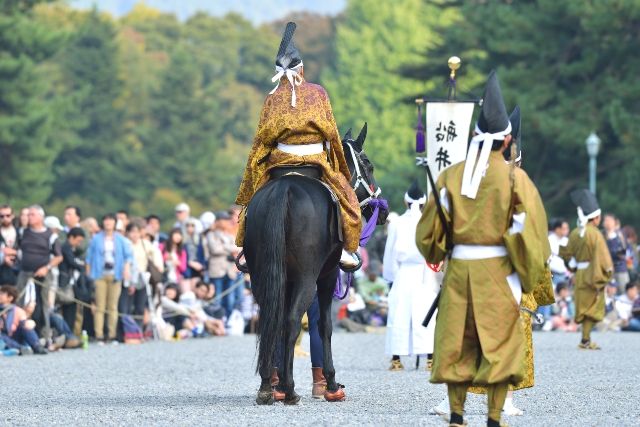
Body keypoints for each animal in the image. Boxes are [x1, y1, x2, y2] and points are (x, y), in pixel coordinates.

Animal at [244, 123, 384, 404]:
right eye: (368, 164)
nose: (383, 211)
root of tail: (284, 190)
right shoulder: (327, 277)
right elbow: (324, 326)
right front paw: (330, 384)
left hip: (261, 276)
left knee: (271, 321)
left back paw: (268, 386)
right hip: (308, 279)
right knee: (292, 322)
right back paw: (289, 389)